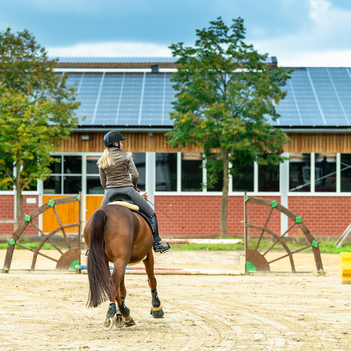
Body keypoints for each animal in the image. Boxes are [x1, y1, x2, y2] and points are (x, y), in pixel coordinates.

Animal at [84, 201, 165, 330]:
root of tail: (105, 212)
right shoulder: (148, 255)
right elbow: (151, 280)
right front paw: (157, 307)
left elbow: (121, 289)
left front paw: (120, 316)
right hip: (121, 259)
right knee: (113, 282)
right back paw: (119, 312)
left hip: (105, 260)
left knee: (111, 283)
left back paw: (123, 314)